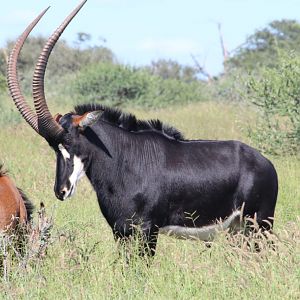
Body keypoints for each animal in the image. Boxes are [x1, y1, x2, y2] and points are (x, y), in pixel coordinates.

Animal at [7, 0, 278, 258]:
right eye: (53, 148)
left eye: (71, 142)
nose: (61, 191)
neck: (122, 159)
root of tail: (266, 163)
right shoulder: (120, 231)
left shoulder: (148, 230)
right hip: (238, 230)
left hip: (258, 225)